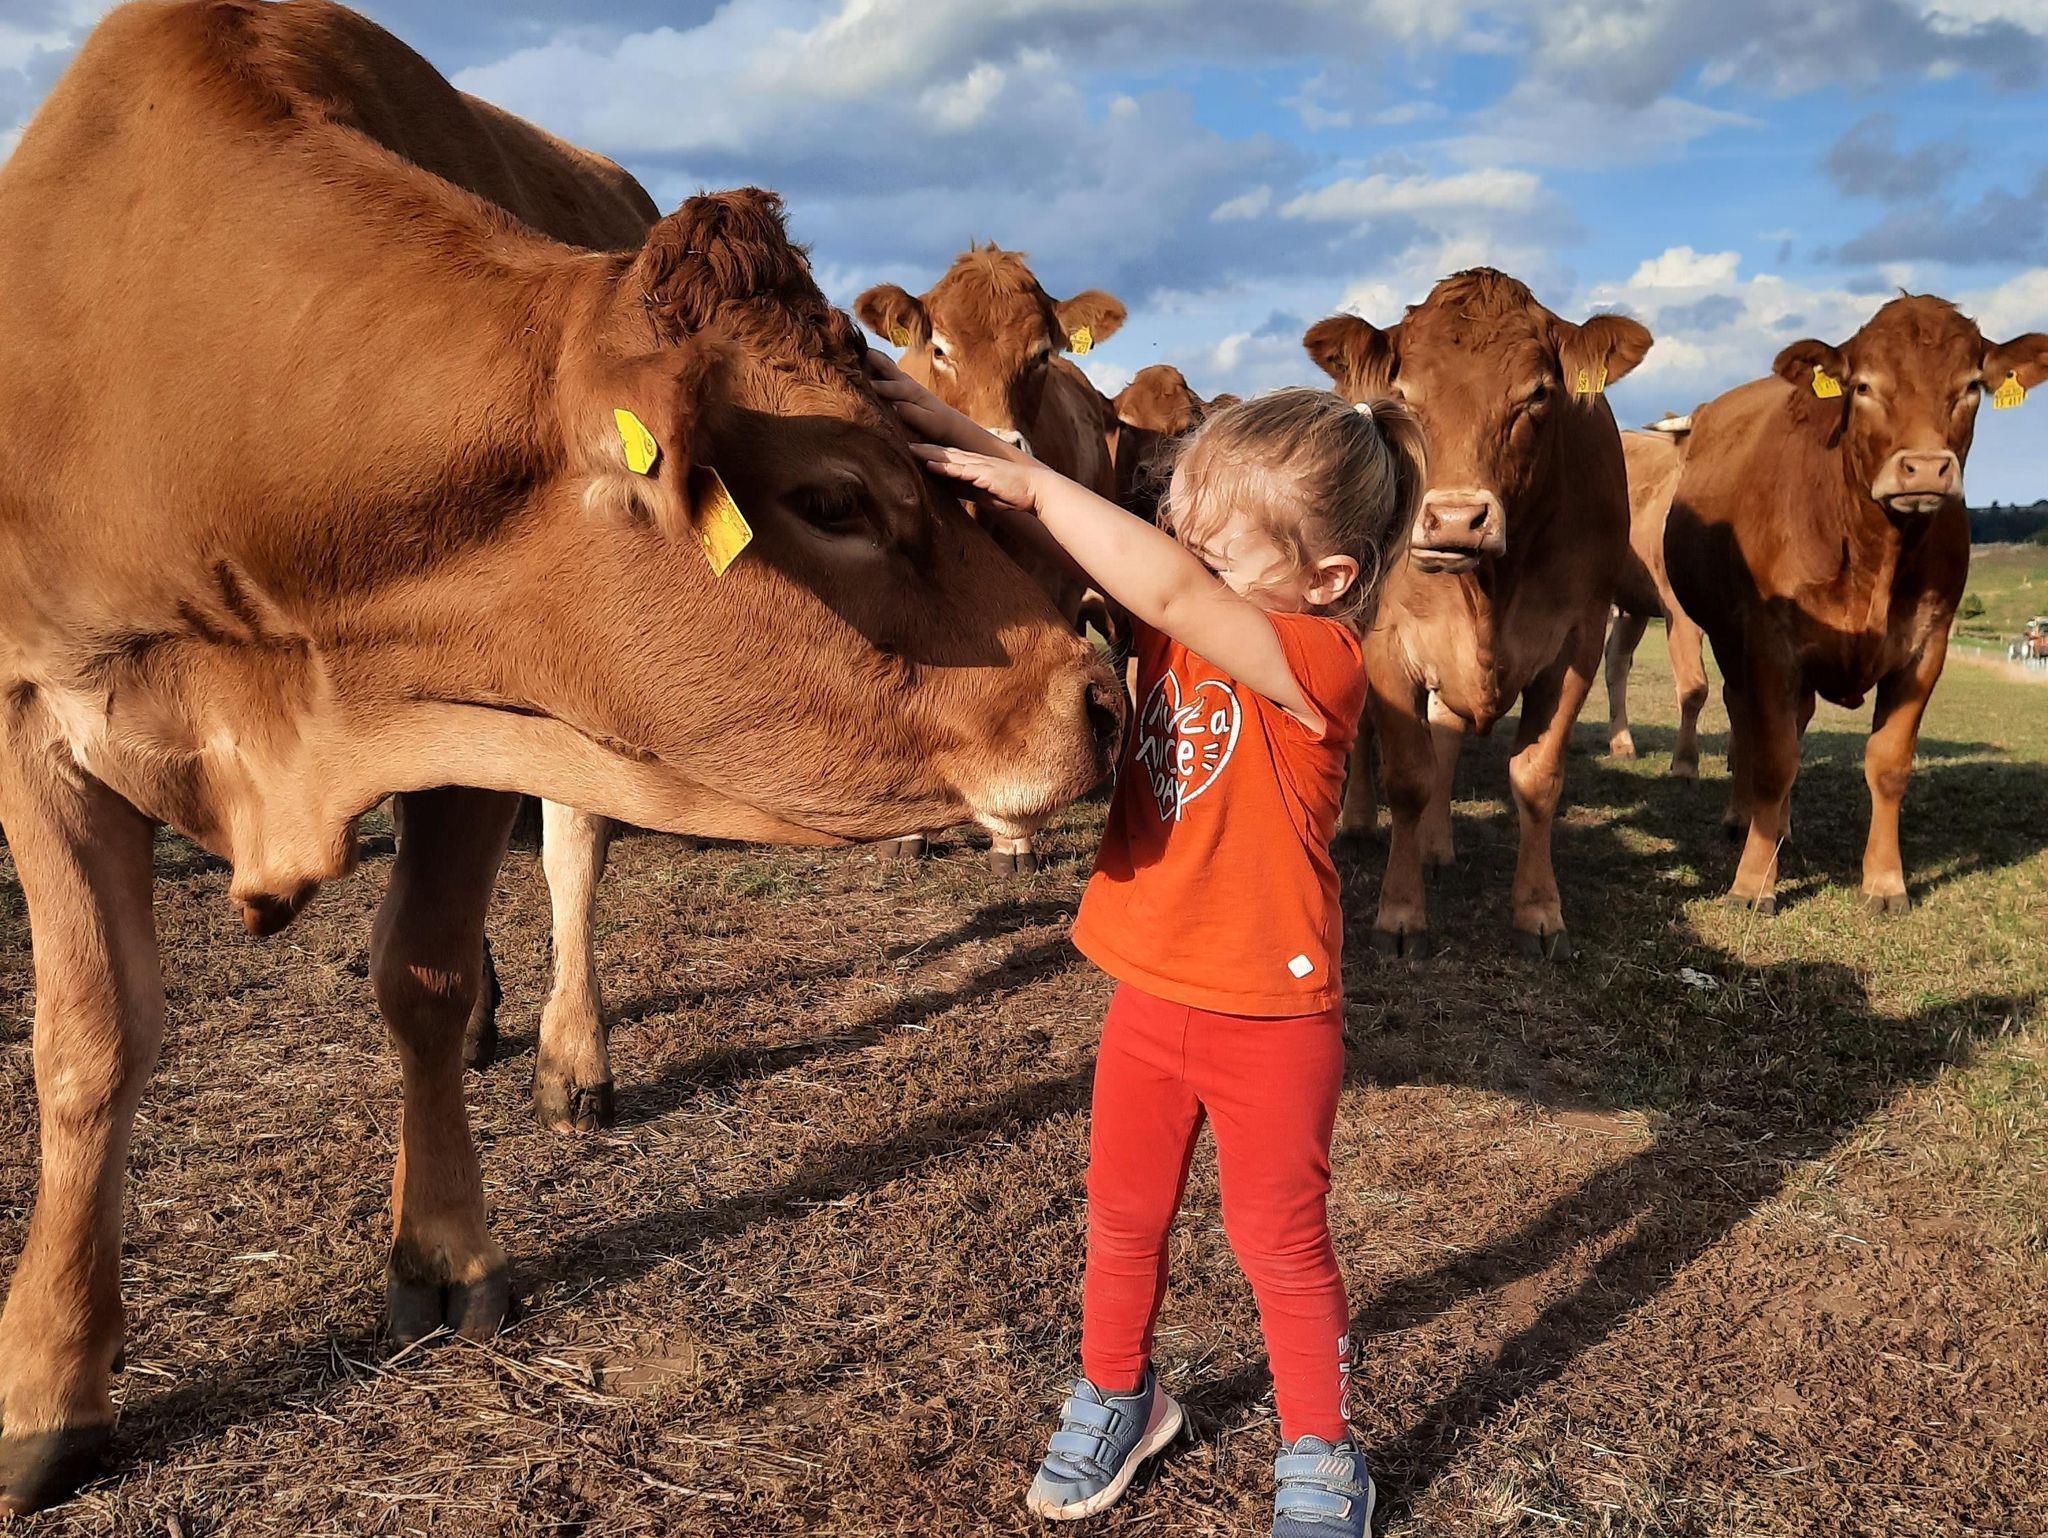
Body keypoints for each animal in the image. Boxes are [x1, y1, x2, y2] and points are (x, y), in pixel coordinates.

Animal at [856, 246, 1127, 871]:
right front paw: (907, 831)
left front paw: (1015, 835)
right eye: (939, 349)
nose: (997, 445)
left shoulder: (1053, 585)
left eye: (1041, 354)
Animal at [1306, 270, 1651, 959]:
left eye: (1538, 394)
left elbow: (1536, 776)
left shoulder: (1576, 641)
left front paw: (1540, 910)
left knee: (1445, 733)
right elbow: (1407, 774)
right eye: (1403, 393)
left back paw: (1436, 844)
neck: (1491, 590)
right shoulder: (1388, 643)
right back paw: (1359, 824)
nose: (1456, 520)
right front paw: (1400, 913)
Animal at [1602, 416, 1712, 776]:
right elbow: (1694, 686)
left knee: (1616, 661)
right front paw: (1684, 763)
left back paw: (1622, 745)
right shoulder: (1679, 611)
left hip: (1632, 604)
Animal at [1664, 295, 2045, 914]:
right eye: (1863, 385)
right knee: (1746, 716)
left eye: (1970, 386)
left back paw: (1780, 827)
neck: (1874, 552)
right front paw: (1753, 883)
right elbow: (1773, 759)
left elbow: (1887, 764)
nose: (1925, 468)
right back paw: (1745, 818)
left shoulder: (1926, 648)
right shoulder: (1769, 640)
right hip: (1724, 634)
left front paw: (1886, 883)